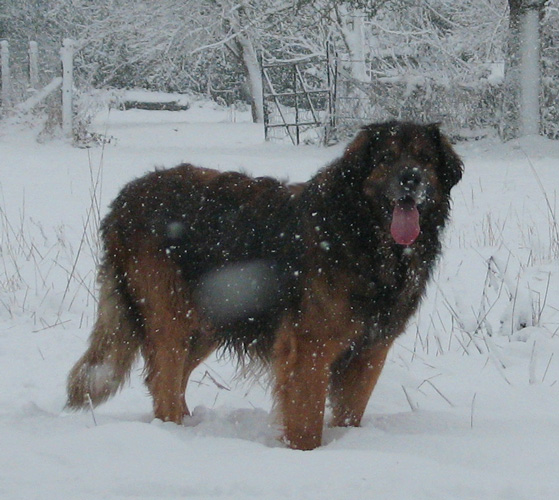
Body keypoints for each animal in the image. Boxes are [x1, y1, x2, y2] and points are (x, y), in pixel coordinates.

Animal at [66, 120, 464, 450]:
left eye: (425, 159)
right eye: (386, 157)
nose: (411, 179)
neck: (362, 233)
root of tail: (125, 198)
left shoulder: (371, 349)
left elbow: (351, 411)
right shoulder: (309, 347)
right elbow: (306, 420)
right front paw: (307, 455)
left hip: (210, 316)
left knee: (171, 381)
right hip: (171, 317)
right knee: (164, 382)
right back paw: (174, 435)